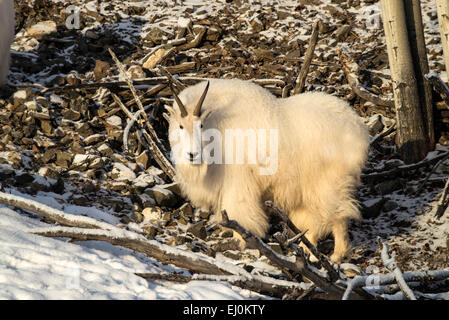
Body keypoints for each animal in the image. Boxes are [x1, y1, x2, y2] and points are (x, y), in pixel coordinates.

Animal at [164, 78, 368, 262]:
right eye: (180, 126)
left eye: (200, 125)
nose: (192, 154)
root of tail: (358, 130)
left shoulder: (238, 181)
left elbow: (240, 212)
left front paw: (241, 241)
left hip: (328, 183)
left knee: (338, 216)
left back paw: (336, 255)